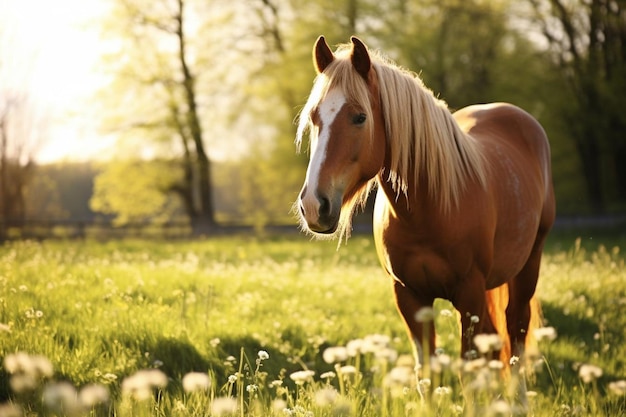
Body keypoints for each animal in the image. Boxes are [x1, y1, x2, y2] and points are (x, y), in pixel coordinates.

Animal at [294, 36, 552, 384]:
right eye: (314, 118)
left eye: (359, 117)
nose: (313, 205)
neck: (427, 212)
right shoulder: (409, 296)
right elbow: (426, 374)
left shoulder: (469, 295)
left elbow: (469, 372)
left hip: (528, 266)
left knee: (516, 334)